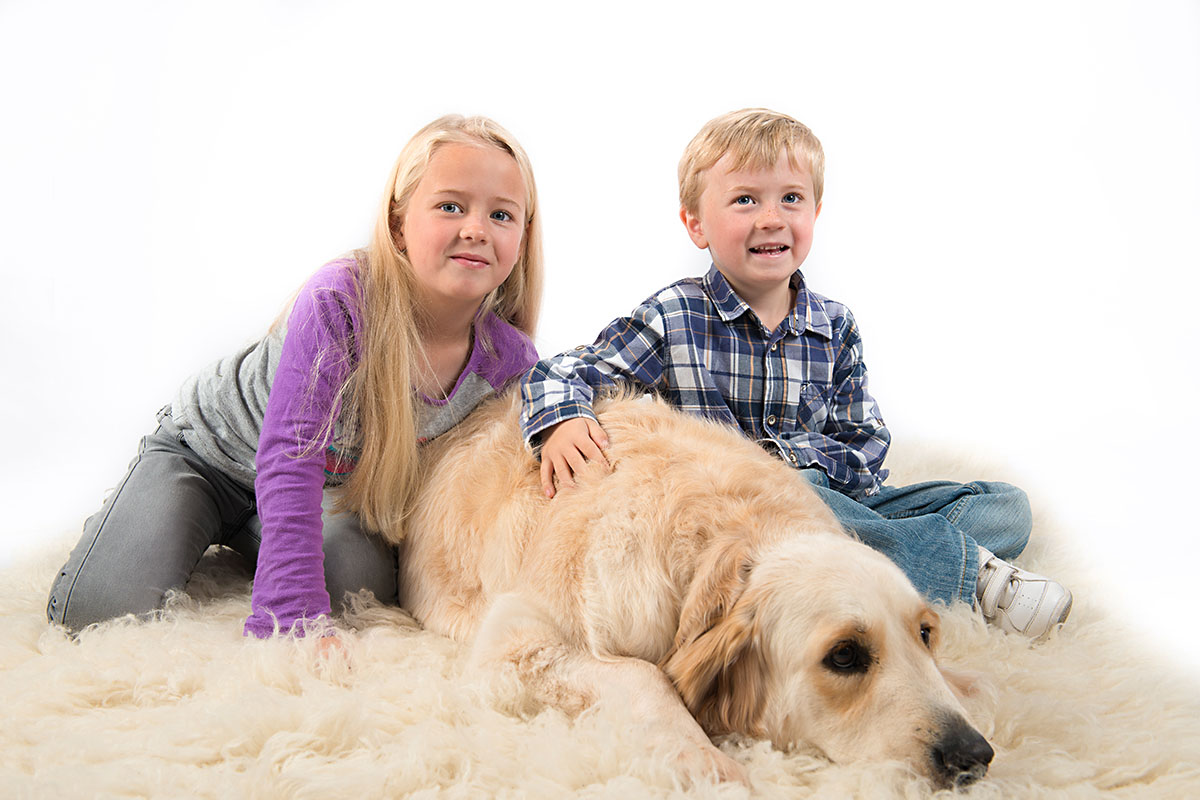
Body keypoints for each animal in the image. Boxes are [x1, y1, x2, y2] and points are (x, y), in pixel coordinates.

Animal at [391, 392, 993, 788]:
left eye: (926, 634)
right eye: (844, 656)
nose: (973, 756)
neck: (726, 543)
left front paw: (964, 681)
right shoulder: (515, 639)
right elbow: (645, 675)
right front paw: (707, 762)